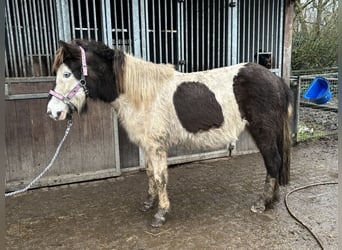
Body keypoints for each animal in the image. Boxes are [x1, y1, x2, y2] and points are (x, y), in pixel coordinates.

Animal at [46, 38, 292, 227]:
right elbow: (149, 174)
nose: (53, 112)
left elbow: (160, 177)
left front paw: (161, 214)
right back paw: (273, 200)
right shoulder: (147, 145)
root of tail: (275, 79)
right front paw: (148, 203)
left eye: (67, 74)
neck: (141, 94)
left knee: (273, 162)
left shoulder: (156, 146)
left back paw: (262, 203)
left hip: (263, 131)